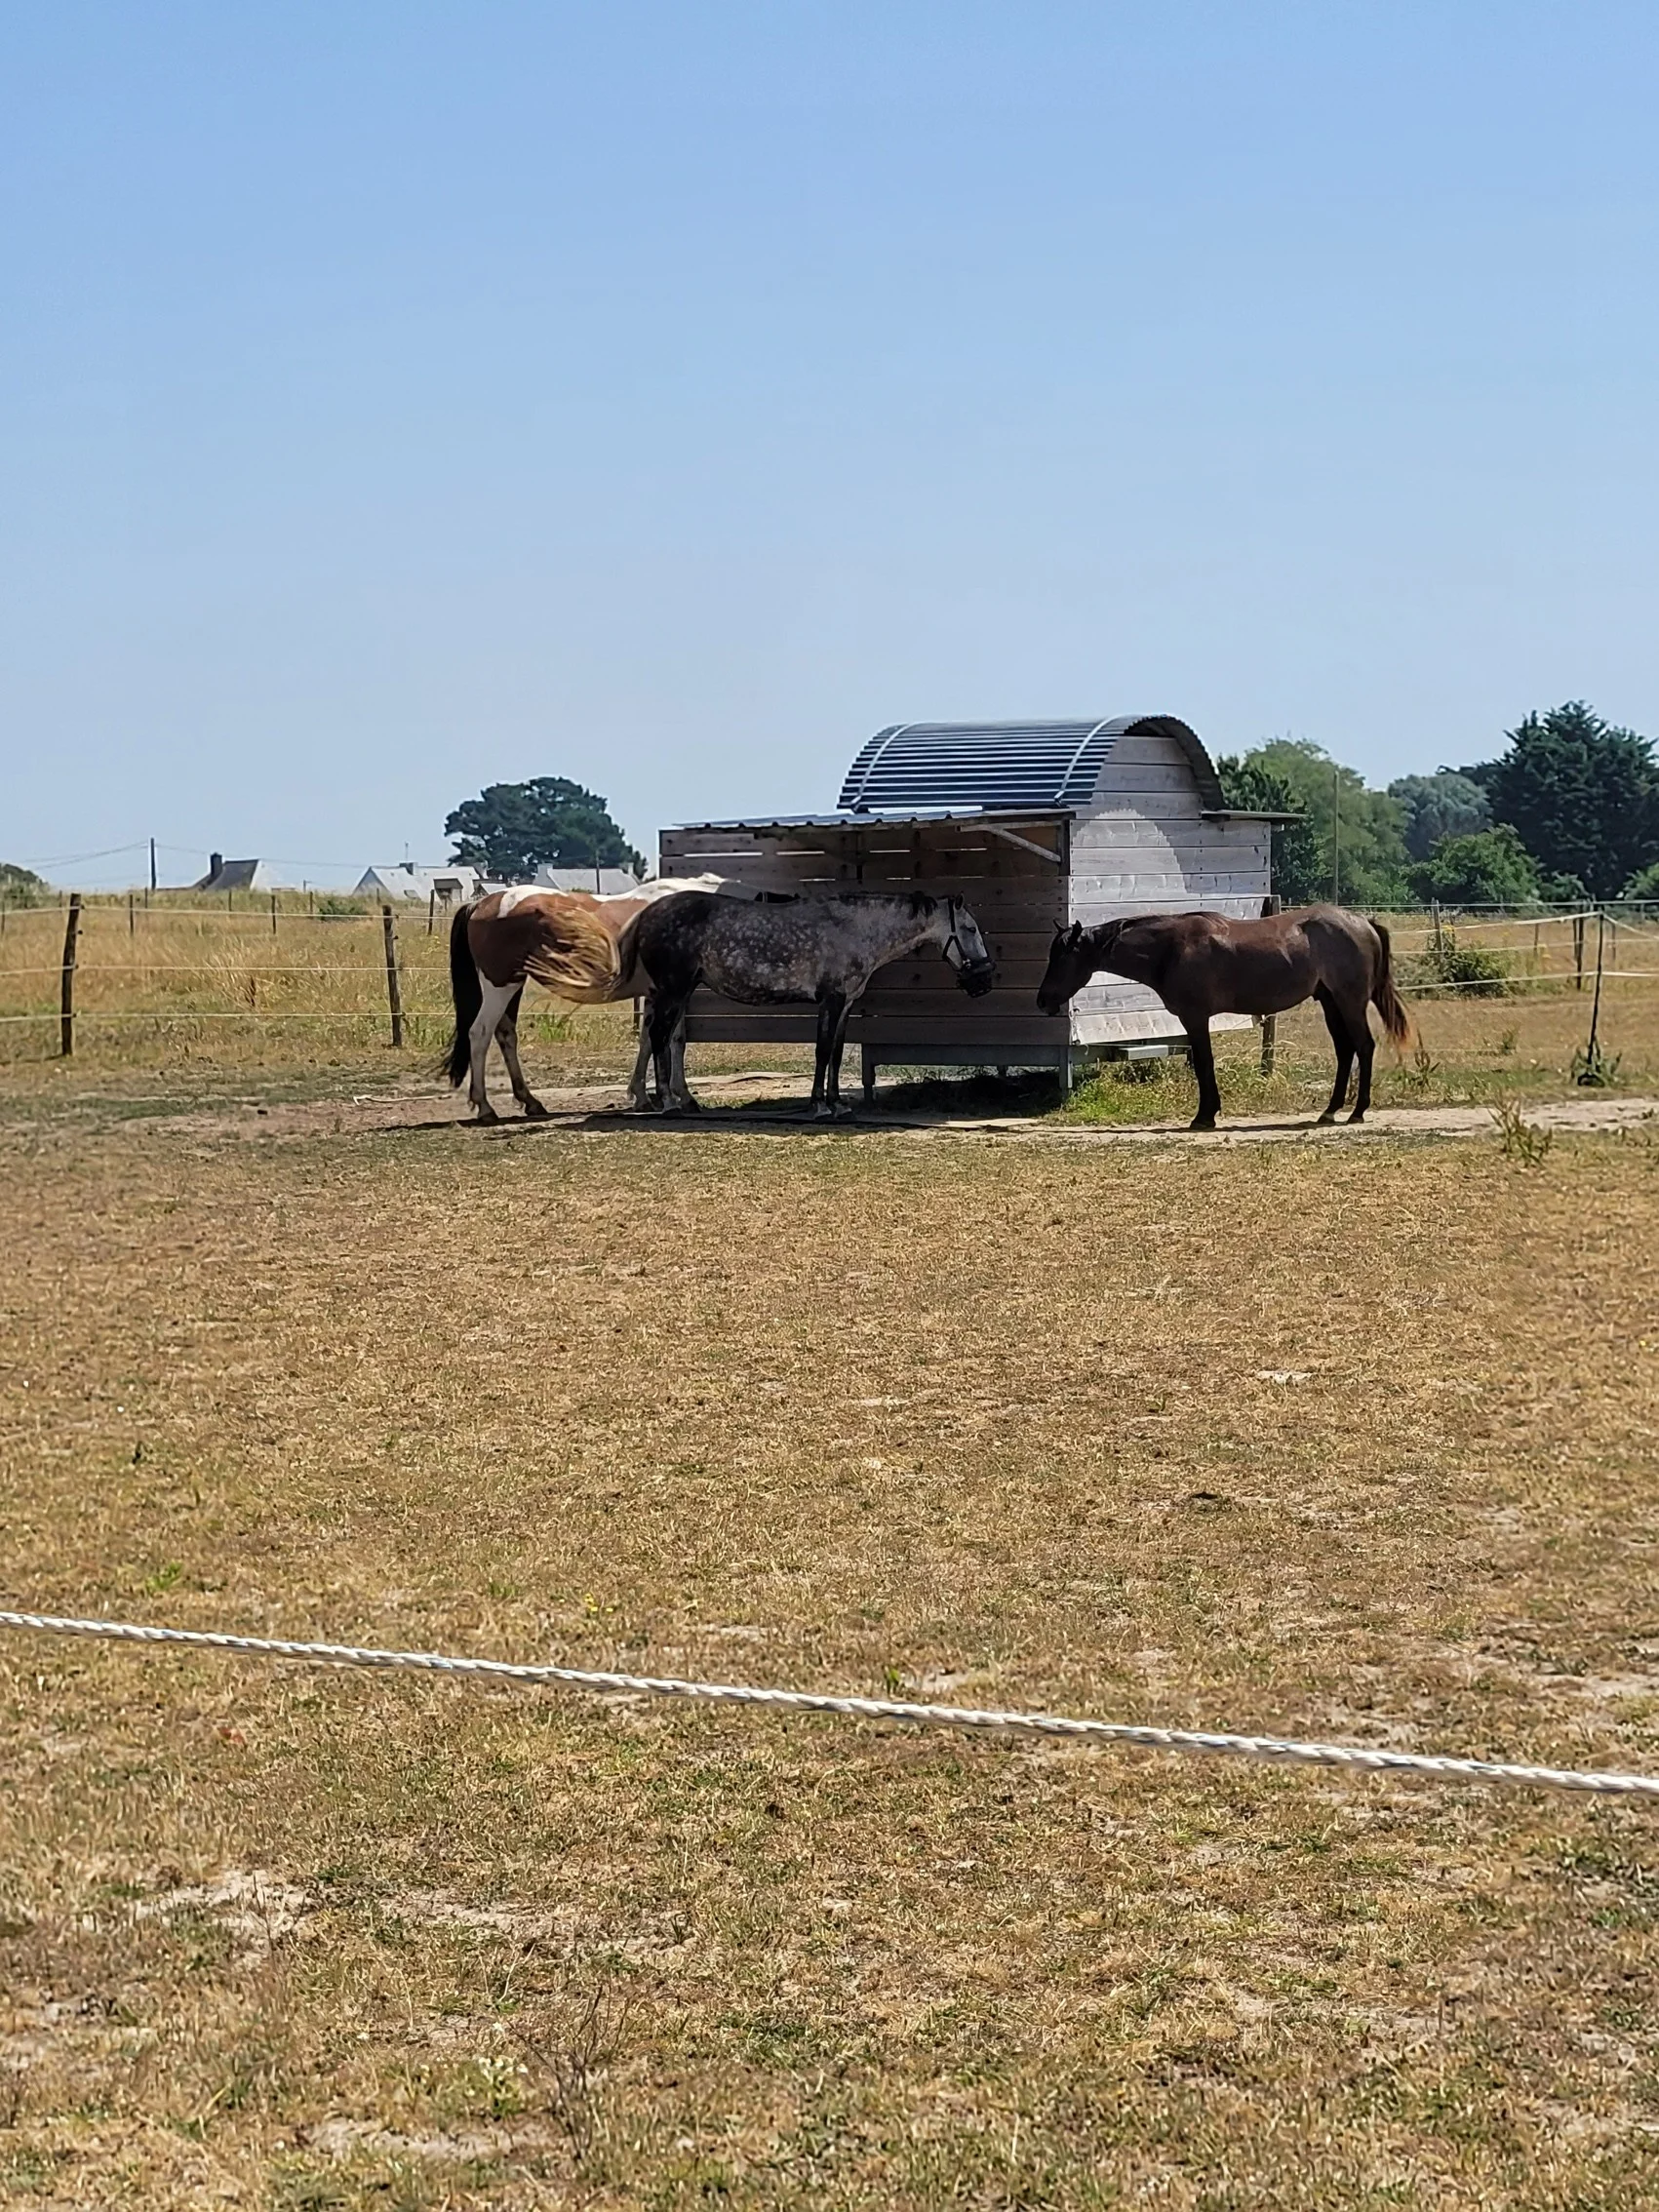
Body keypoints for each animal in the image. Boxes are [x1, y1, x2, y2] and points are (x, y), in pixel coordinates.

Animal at [442, 877, 734, 1122]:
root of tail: (480, 904)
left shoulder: (655, 996)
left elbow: (649, 1041)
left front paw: (642, 1097)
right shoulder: (671, 994)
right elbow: (673, 1041)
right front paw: (681, 1097)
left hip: (513, 984)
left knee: (505, 1035)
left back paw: (530, 1102)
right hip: (500, 986)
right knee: (480, 1033)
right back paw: (485, 1107)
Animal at [633, 889, 996, 1117]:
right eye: (970, 928)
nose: (984, 981)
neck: (854, 929)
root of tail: (646, 915)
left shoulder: (846, 1005)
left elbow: (835, 1053)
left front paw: (837, 1105)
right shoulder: (831, 1001)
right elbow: (822, 1051)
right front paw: (819, 1106)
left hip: (679, 993)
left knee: (663, 1038)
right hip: (673, 991)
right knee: (659, 1037)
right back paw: (667, 1102)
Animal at [1036, 904, 1410, 1130]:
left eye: (1063, 958)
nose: (1042, 1000)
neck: (1172, 948)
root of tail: (1363, 921)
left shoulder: (1195, 1018)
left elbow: (1204, 1064)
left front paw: (1204, 1116)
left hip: (1350, 1001)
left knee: (1364, 1046)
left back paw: (1358, 1111)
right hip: (1331, 1003)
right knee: (1345, 1051)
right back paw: (1330, 1110)